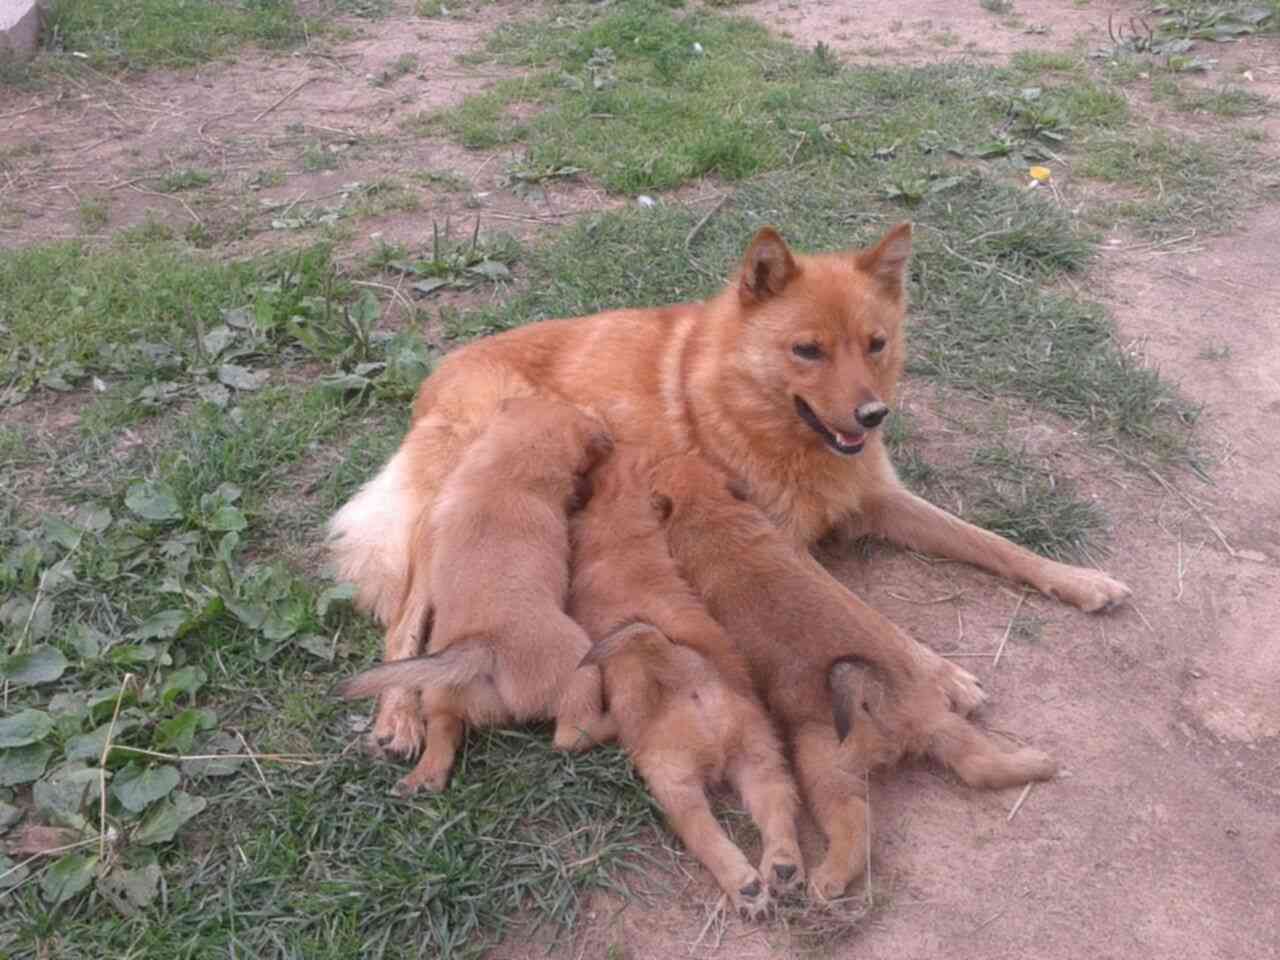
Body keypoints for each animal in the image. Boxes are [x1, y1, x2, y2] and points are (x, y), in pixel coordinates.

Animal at [332, 221, 1131, 757]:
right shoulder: (778, 542)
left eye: (875, 344)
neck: (756, 411)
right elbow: (867, 619)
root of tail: (436, 376)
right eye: (807, 350)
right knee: (405, 621)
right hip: (449, 524)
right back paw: (397, 716)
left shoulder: (879, 497)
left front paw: (1078, 580)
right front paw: (940, 676)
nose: (873, 416)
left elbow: (993, 543)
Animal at [337, 399, 611, 798]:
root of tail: (481, 647)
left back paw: (422, 778)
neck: (502, 467)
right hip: (580, 666)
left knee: (442, 732)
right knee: (572, 734)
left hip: (443, 695)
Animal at [560, 450, 798, 916]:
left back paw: (743, 882)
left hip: (669, 776)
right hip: (758, 749)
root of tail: (686, 671)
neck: (616, 521)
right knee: (775, 798)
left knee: (701, 829)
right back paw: (780, 867)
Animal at [650, 455, 1059, 906]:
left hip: (823, 763)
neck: (715, 515)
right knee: (978, 763)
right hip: (942, 721)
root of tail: (881, 700)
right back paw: (1036, 762)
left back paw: (828, 879)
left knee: (855, 825)